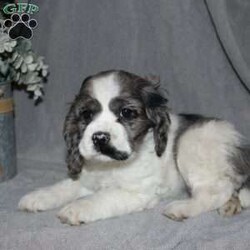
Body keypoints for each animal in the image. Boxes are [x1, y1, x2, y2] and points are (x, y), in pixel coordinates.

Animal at [18, 70, 250, 225]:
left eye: (126, 113)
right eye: (86, 114)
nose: (99, 138)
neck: (110, 166)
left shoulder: (136, 193)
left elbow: (101, 197)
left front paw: (77, 208)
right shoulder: (88, 180)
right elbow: (65, 186)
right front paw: (39, 196)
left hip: (192, 143)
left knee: (217, 191)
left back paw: (183, 208)